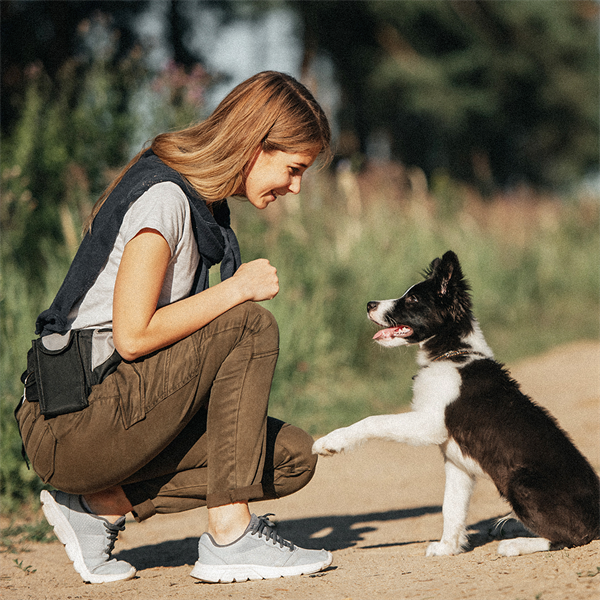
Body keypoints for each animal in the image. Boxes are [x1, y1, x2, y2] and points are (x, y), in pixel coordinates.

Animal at [314, 250, 600, 556]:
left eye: (413, 300)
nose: (369, 305)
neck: (451, 354)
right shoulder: (455, 462)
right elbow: (451, 507)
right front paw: (447, 548)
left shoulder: (430, 424)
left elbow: (373, 421)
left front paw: (330, 442)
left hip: (522, 483)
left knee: (571, 536)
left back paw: (515, 543)